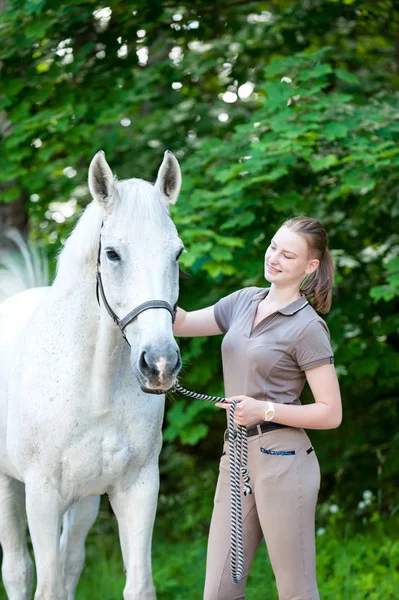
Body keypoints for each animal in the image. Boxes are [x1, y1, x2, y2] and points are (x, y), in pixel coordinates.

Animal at [0, 150, 184, 600]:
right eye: (112, 254)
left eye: (177, 254)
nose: (160, 364)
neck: (93, 389)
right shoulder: (42, 496)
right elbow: (44, 585)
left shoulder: (138, 489)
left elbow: (138, 585)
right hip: (8, 486)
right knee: (17, 570)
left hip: (84, 500)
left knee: (71, 563)